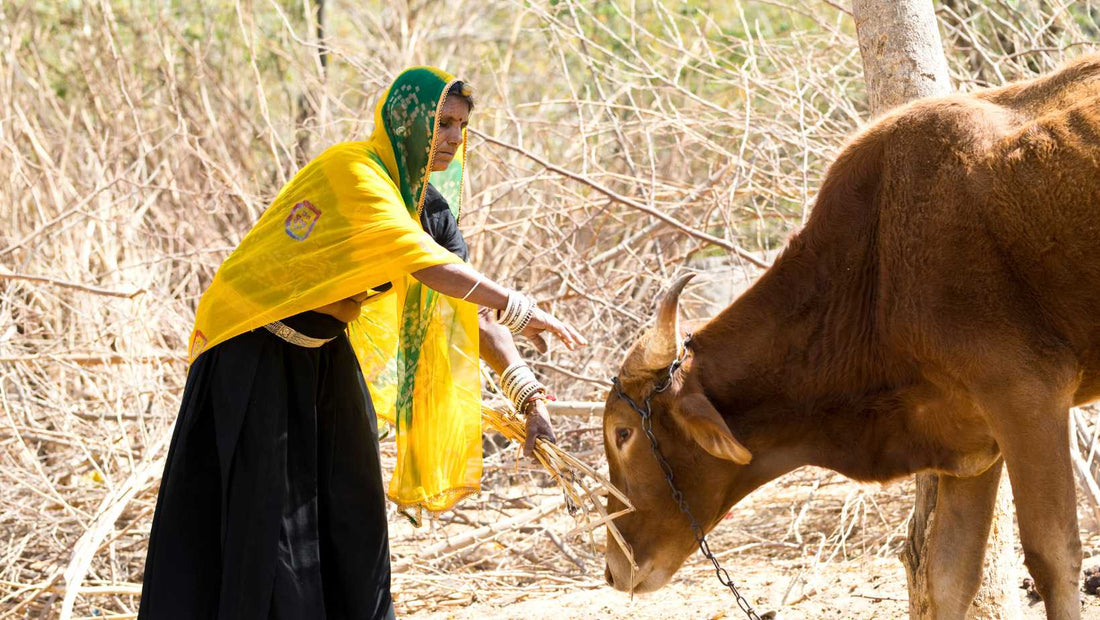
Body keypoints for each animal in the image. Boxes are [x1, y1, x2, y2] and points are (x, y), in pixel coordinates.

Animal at [602, 53, 1100, 619]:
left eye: (622, 434)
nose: (614, 569)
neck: (876, 265)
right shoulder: (973, 440)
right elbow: (949, 575)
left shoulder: (1026, 398)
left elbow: (1052, 557)